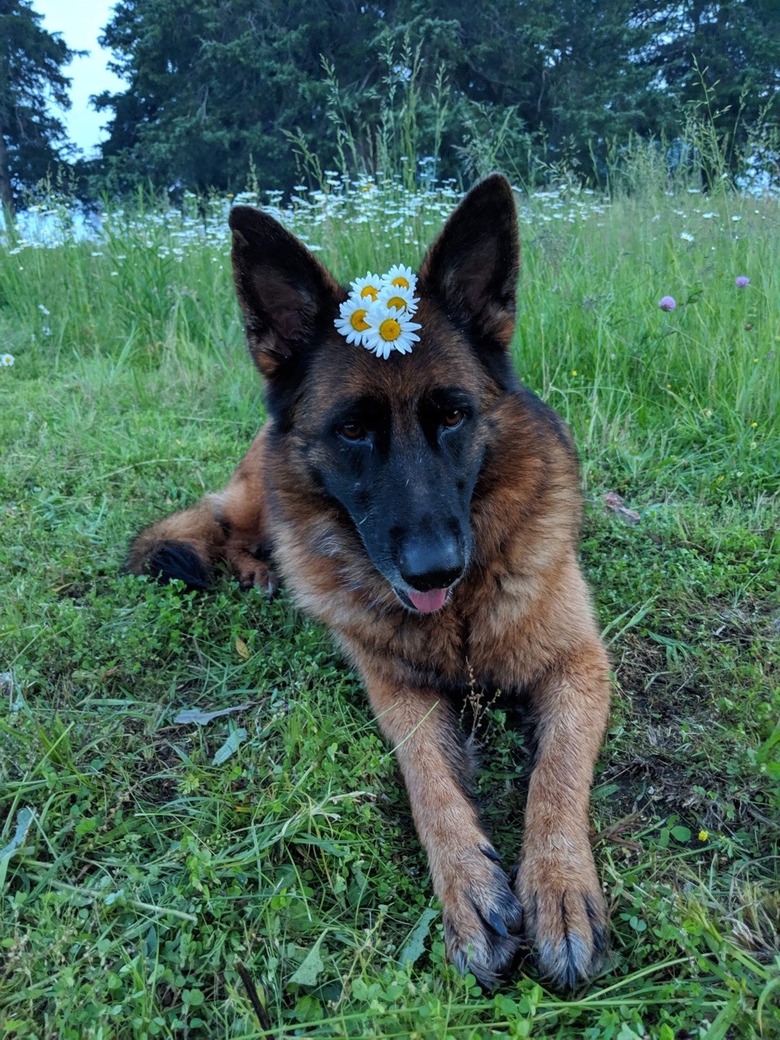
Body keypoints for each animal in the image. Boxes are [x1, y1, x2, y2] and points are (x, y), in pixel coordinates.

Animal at [128, 172, 615, 990]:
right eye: (353, 430)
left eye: (453, 415)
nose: (435, 569)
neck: (461, 623)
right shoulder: (395, 688)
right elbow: (429, 783)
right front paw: (468, 887)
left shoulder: (580, 665)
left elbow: (555, 778)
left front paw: (558, 886)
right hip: (261, 494)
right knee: (227, 527)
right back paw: (258, 568)